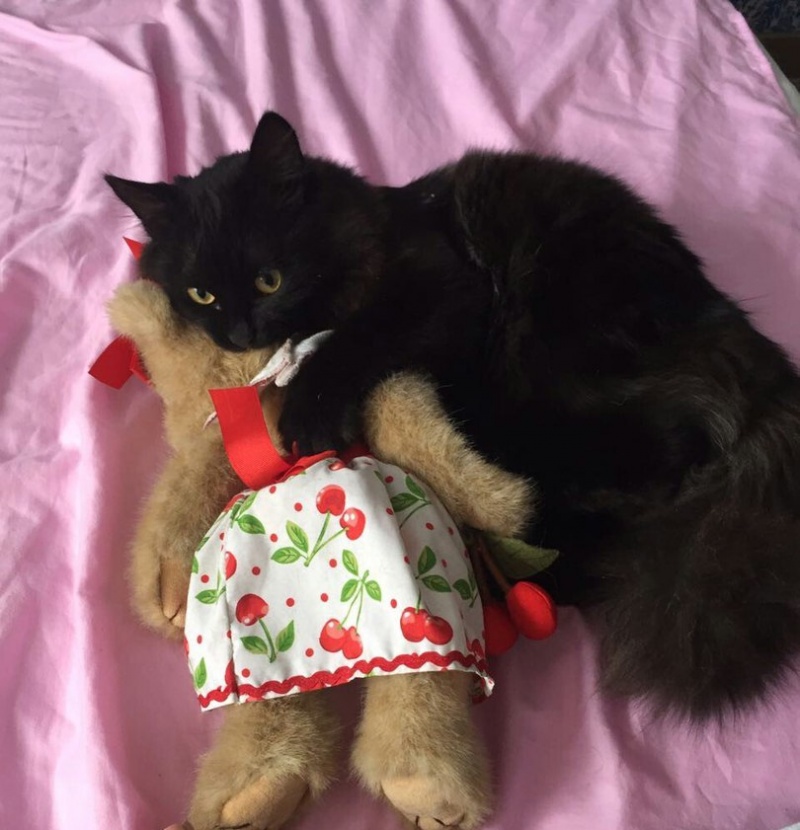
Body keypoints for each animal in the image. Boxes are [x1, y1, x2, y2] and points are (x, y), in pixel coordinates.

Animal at [106, 111, 800, 719]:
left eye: (269, 280)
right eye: (201, 294)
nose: (240, 334)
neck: (366, 225)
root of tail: (733, 331)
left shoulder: (440, 291)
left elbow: (352, 341)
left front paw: (309, 416)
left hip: (550, 354)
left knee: (660, 459)